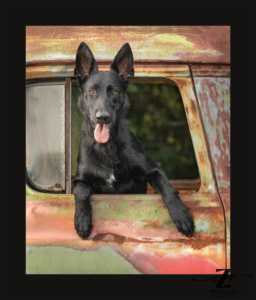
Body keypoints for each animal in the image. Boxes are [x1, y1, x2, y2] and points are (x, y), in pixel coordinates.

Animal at [72, 41, 194, 239]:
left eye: (114, 92)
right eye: (91, 91)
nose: (102, 117)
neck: (107, 147)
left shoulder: (153, 170)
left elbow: (168, 189)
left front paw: (181, 214)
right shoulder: (79, 180)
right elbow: (80, 191)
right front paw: (82, 221)